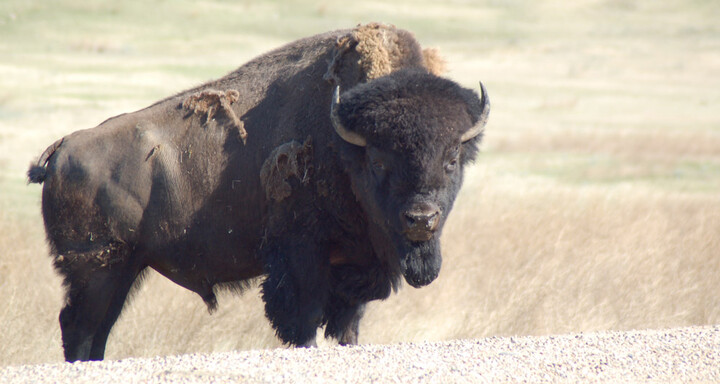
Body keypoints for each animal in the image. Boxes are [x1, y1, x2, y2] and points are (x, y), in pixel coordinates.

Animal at [28, 23, 490, 360]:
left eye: (452, 157)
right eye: (378, 160)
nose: (421, 219)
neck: (343, 143)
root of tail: (62, 150)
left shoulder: (353, 268)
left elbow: (347, 325)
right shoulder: (301, 256)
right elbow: (304, 319)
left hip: (123, 271)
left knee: (97, 329)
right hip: (97, 269)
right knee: (81, 327)